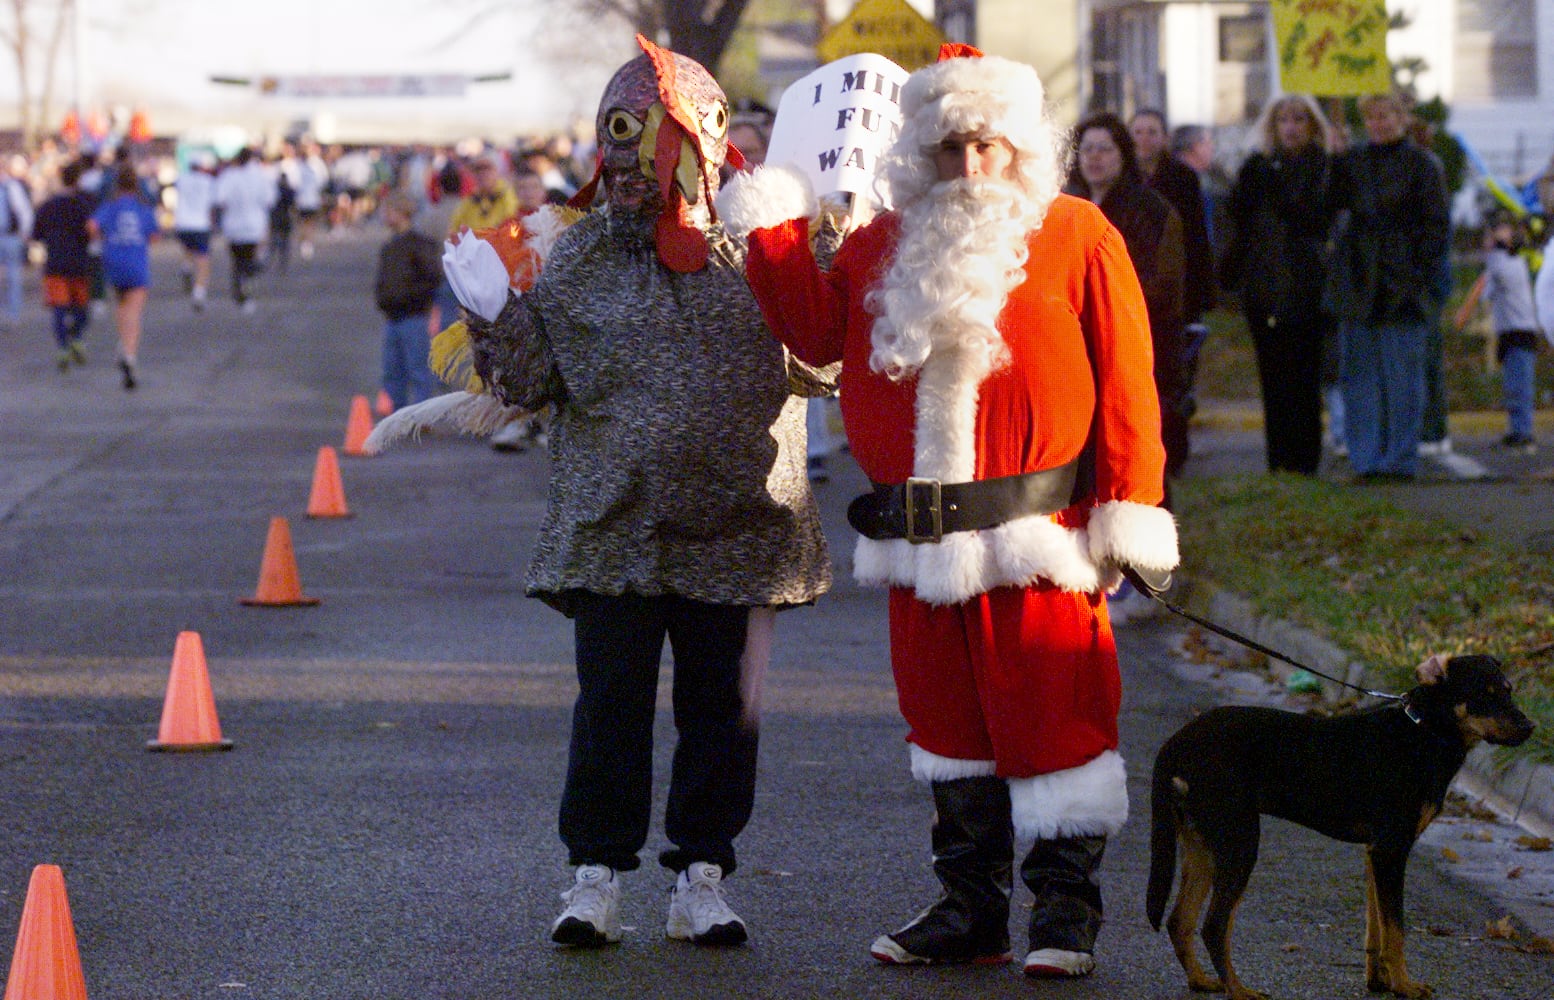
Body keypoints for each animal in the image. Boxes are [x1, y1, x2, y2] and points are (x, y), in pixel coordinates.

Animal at [1149, 652, 1535, 993]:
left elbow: (1376, 927)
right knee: (1214, 926)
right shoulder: (1392, 850)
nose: (1530, 728)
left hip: (1202, 842)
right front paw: (1405, 986)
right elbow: (1396, 929)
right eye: (1484, 694)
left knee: (1179, 920)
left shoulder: (1375, 853)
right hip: (1238, 840)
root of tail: (1175, 743)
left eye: (1508, 690)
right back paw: (1240, 991)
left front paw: (1380, 982)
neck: (1423, 730)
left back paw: (1201, 981)